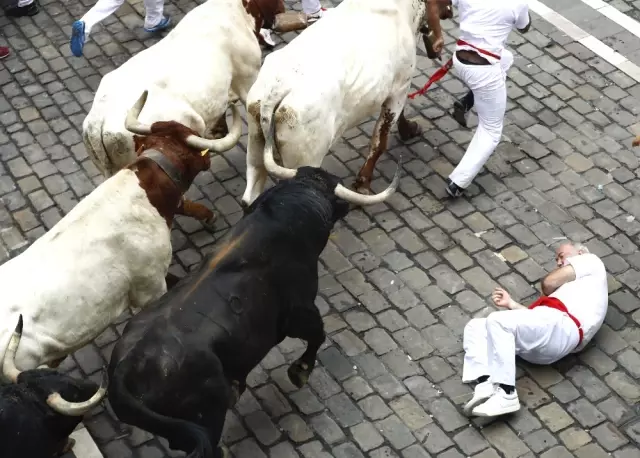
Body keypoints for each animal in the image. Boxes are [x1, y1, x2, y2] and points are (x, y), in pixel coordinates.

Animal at [241, 0, 430, 206]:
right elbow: (380, 141)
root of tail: (275, 91)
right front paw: (363, 184)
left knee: (249, 197)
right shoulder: (399, 90)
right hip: (304, 160)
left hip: (255, 143)